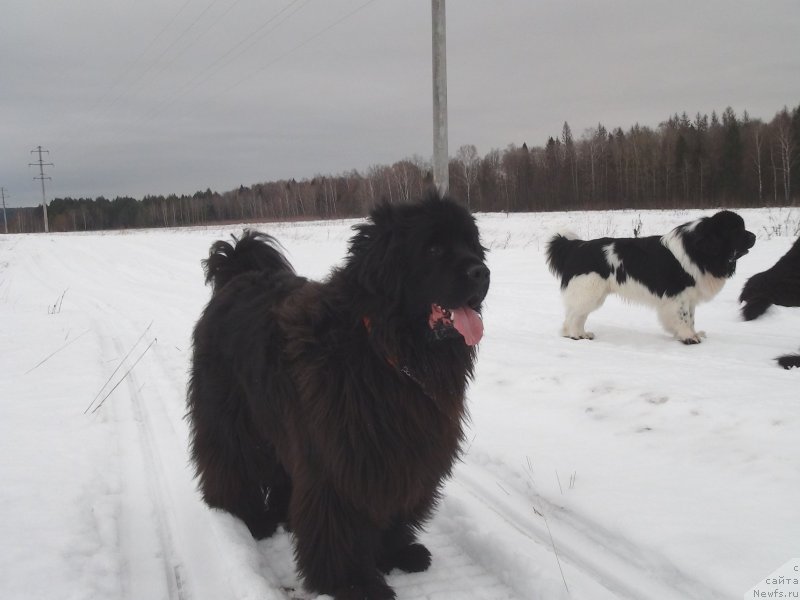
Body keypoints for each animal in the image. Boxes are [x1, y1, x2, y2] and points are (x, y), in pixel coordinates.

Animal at [188, 193, 488, 600]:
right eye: (433, 248)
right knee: (230, 462)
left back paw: (283, 515)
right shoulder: (339, 459)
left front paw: (396, 553)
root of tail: (237, 276)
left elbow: (392, 509)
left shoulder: (402, 454)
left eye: (471, 244)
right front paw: (353, 582)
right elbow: (337, 525)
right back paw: (247, 518)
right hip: (232, 418)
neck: (385, 352)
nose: (481, 272)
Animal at [544, 210, 756, 342]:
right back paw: (575, 335)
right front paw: (688, 337)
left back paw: (580, 333)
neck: (698, 249)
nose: (754, 236)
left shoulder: (688, 296)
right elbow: (683, 317)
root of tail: (576, 246)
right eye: (735, 230)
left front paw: (691, 333)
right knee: (573, 315)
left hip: (591, 294)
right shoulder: (677, 295)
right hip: (588, 290)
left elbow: (690, 317)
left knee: (577, 315)